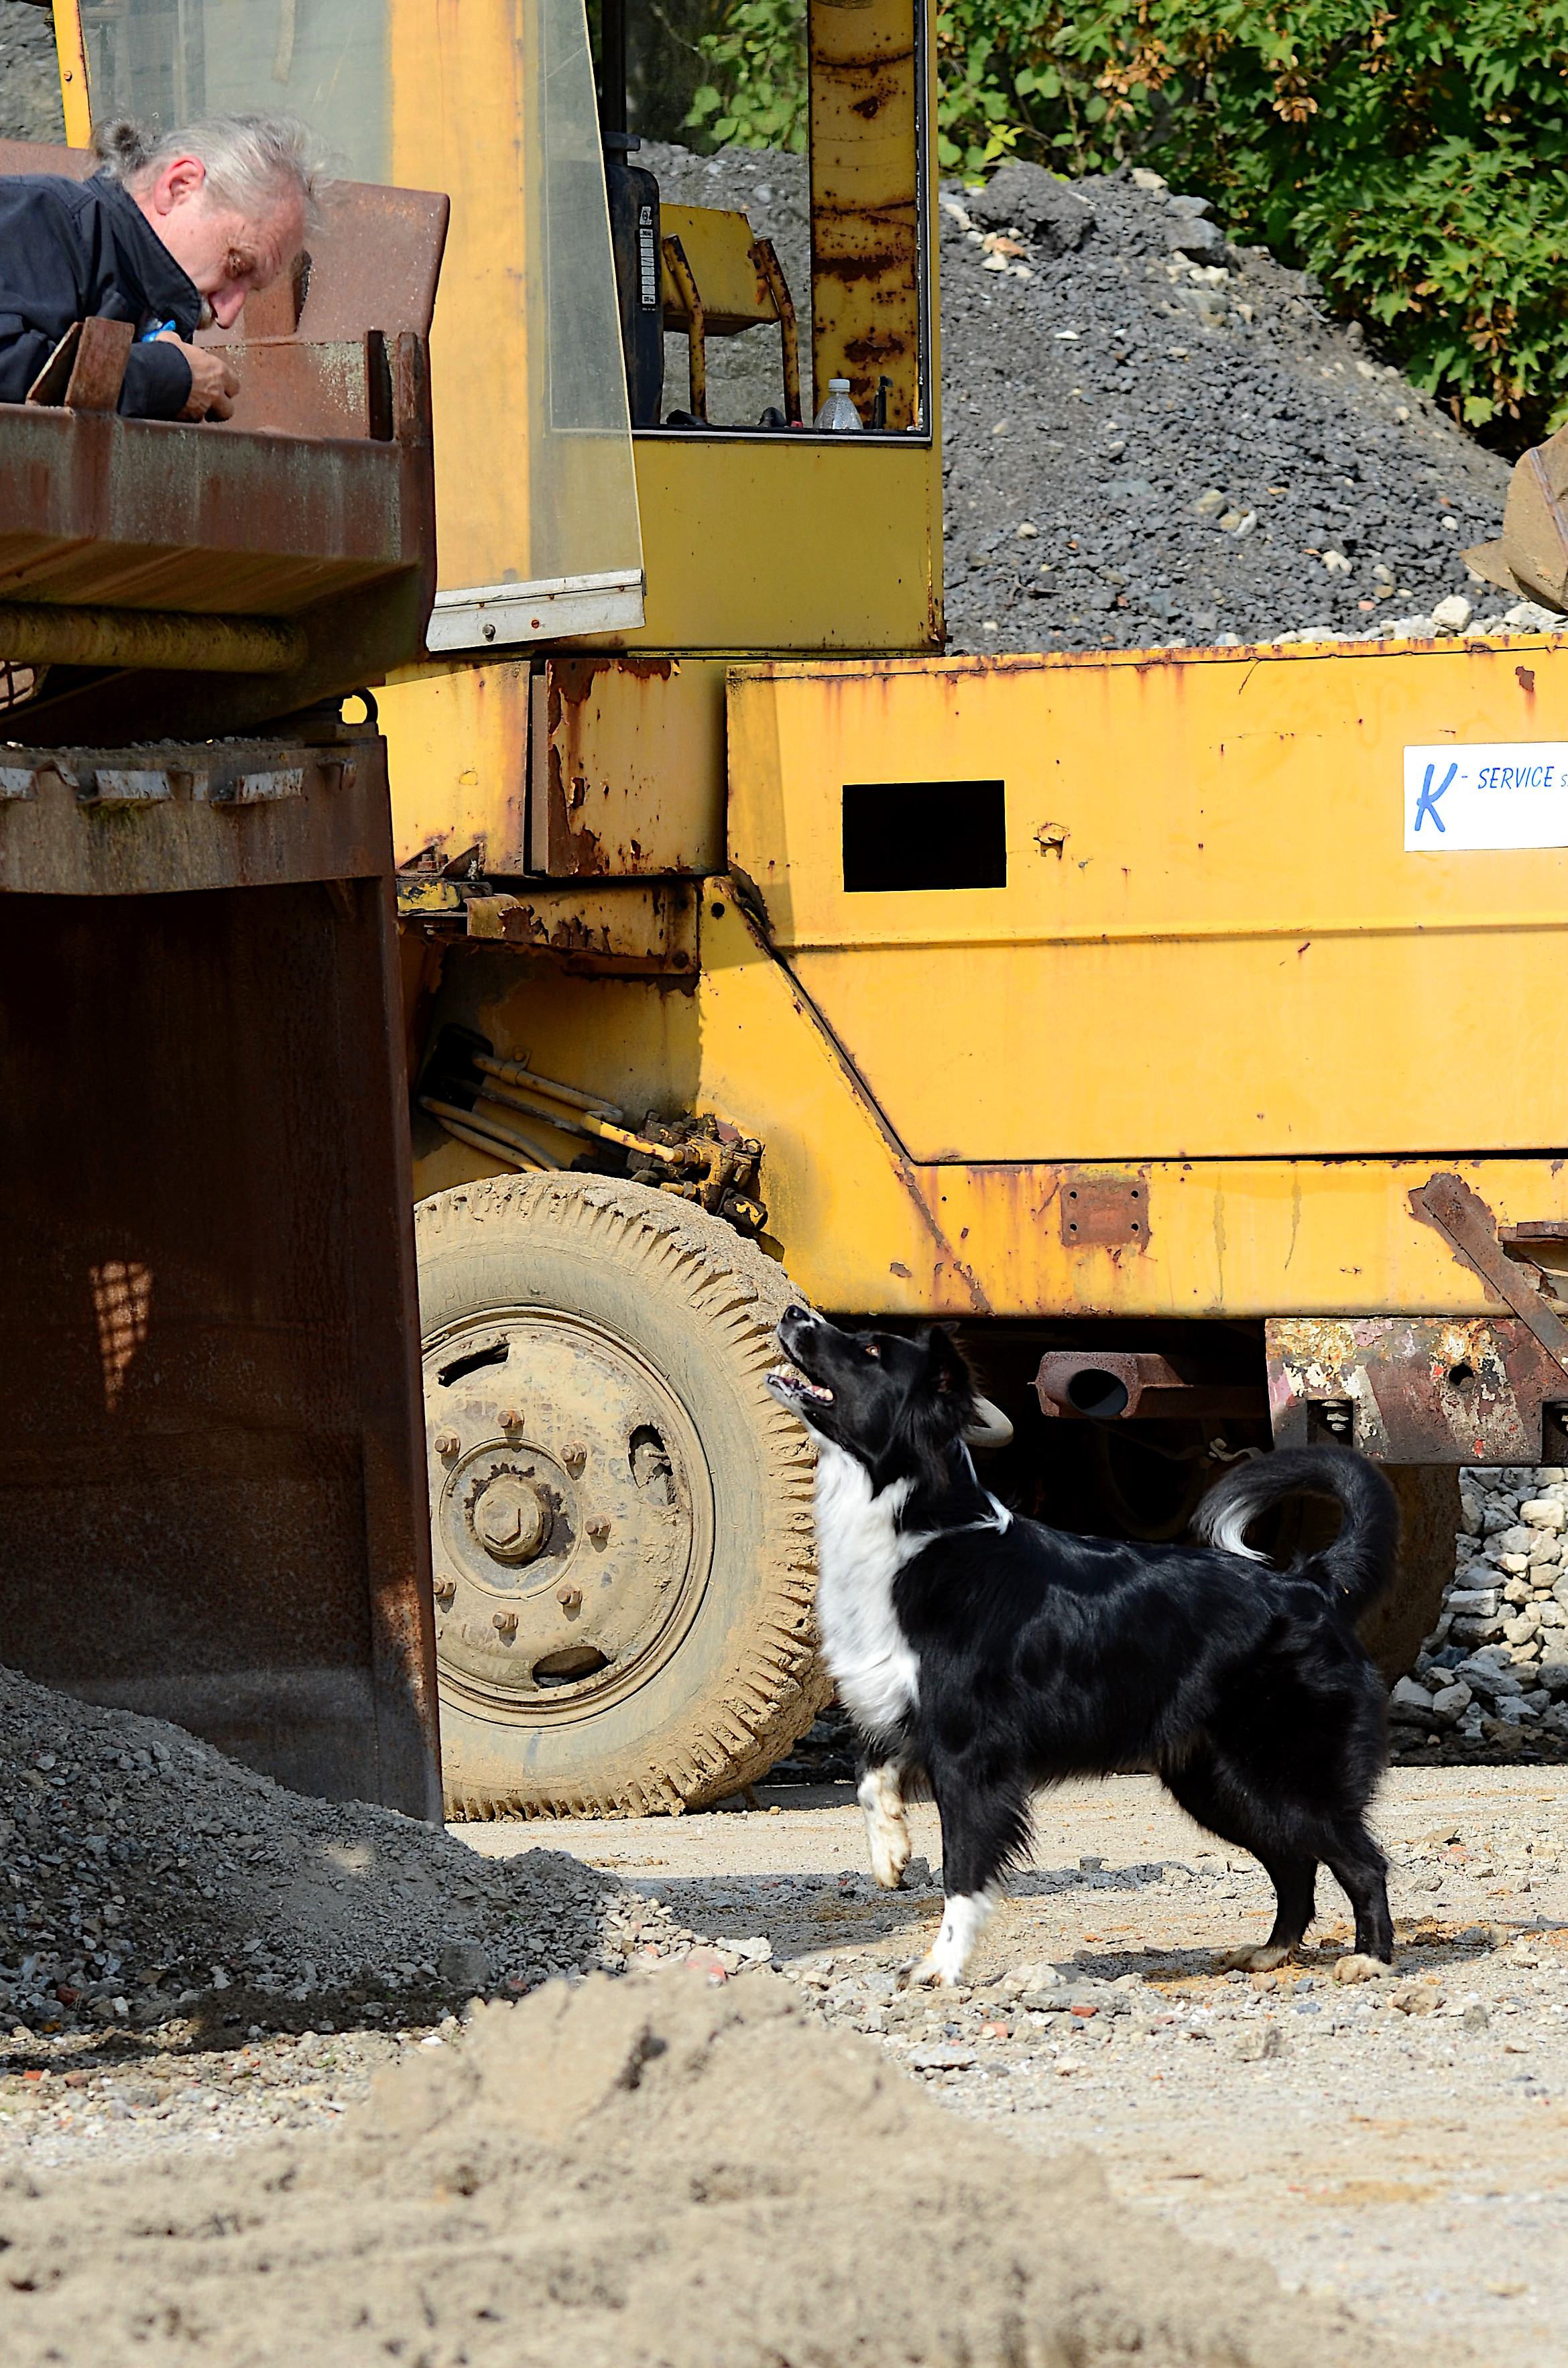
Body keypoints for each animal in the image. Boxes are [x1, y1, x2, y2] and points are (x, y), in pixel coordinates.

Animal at [766, 1308, 1401, 1989]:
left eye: (870, 1351)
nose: (793, 1313)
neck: (913, 1529)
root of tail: (1310, 1583)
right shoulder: (900, 1705)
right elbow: (868, 1775)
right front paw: (890, 1851)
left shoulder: (970, 1757)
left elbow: (963, 1870)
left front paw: (942, 1965)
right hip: (1217, 1783)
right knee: (1294, 1863)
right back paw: (1271, 1950)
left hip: (1280, 1773)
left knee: (1359, 1860)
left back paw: (1369, 1957)